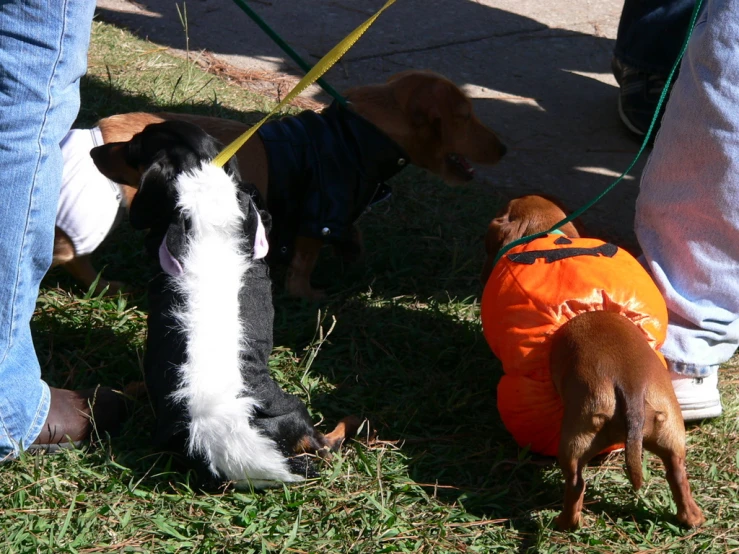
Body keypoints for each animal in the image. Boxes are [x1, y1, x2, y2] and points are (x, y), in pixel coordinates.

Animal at [90, 122, 352, 488]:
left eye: (131, 148)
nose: (92, 151)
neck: (203, 181)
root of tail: (251, 456)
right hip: (298, 412)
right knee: (328, 444)